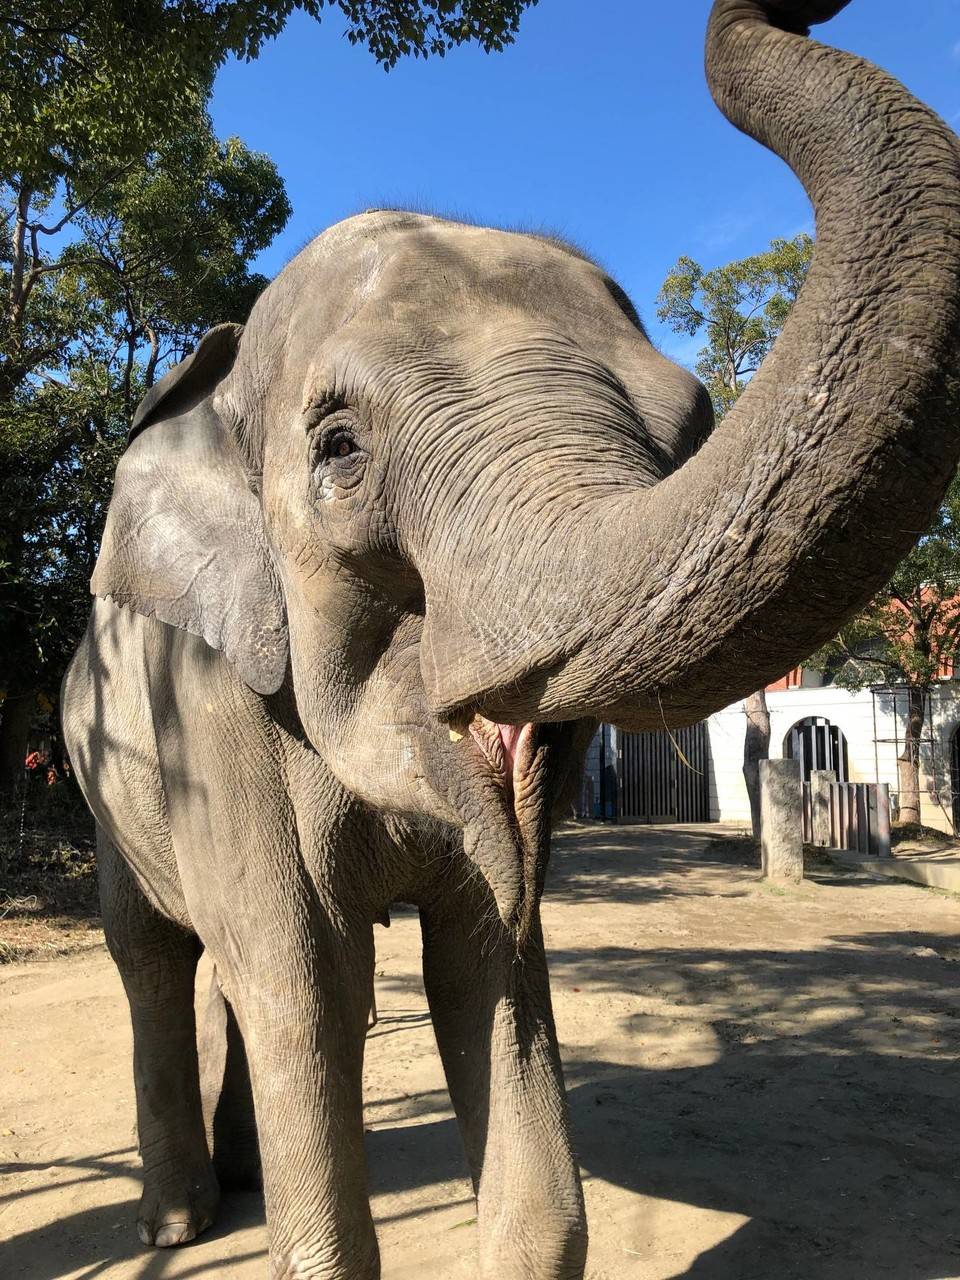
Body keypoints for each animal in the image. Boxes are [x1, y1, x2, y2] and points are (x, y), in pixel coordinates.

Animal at [60, 2, 960, 1280]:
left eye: (692, 421)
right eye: (338, 447)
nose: (790, 7)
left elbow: (492, 963)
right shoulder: (214, 701)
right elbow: (304, 985)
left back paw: (236, 1183)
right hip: (106, 778)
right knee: (158, 954)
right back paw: (180, 1217)